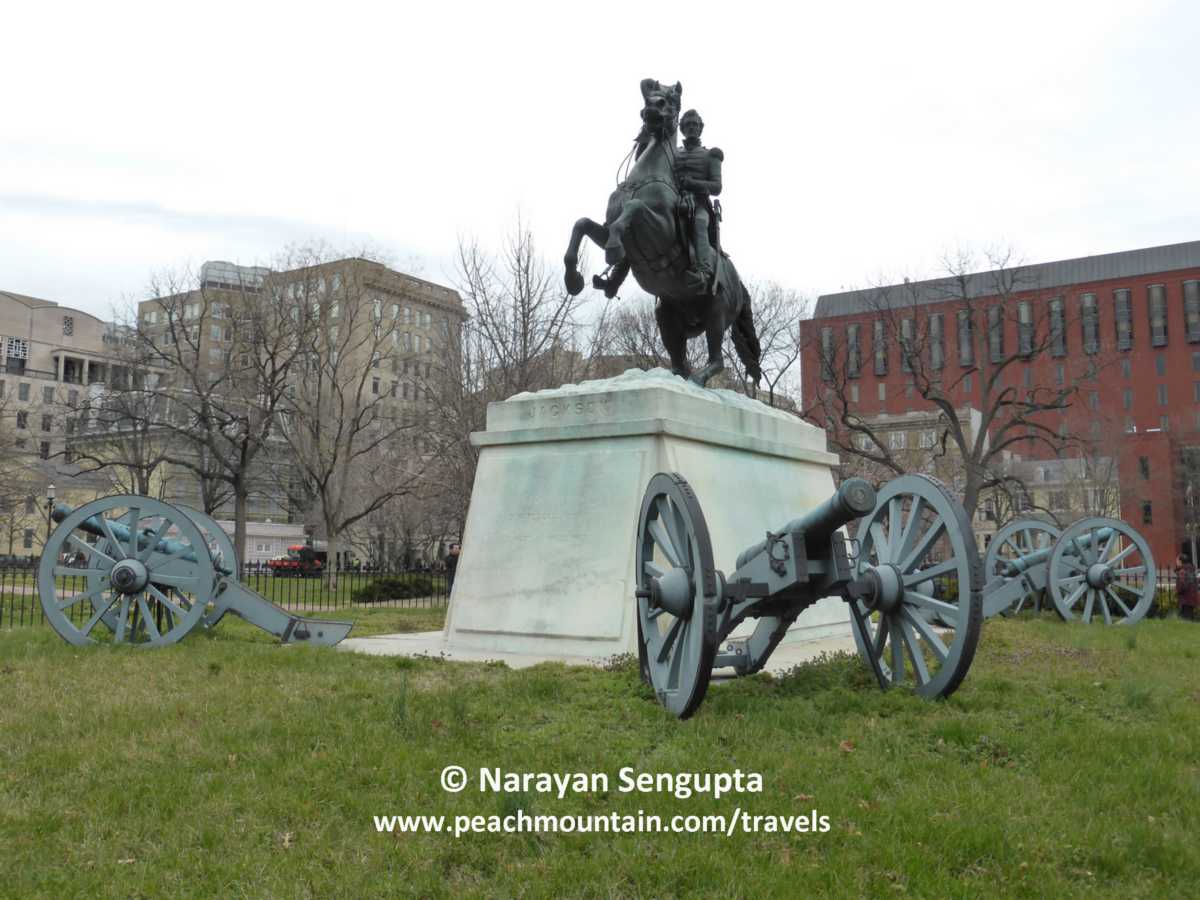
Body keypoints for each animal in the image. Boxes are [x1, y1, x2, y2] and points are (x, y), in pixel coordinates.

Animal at [561, 82, 758, 393]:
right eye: (648, 96)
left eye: (671, 100)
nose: (652, 110)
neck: (644, 178)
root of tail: (740, 284)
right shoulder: (608, 229)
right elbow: (580, 224)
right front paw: (573, 280)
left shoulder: (660, 230)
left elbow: (634, 208)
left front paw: (613, 250)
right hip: (666, 317)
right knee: (680, 362)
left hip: (716, 313)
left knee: (717, 359)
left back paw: (699, 379)